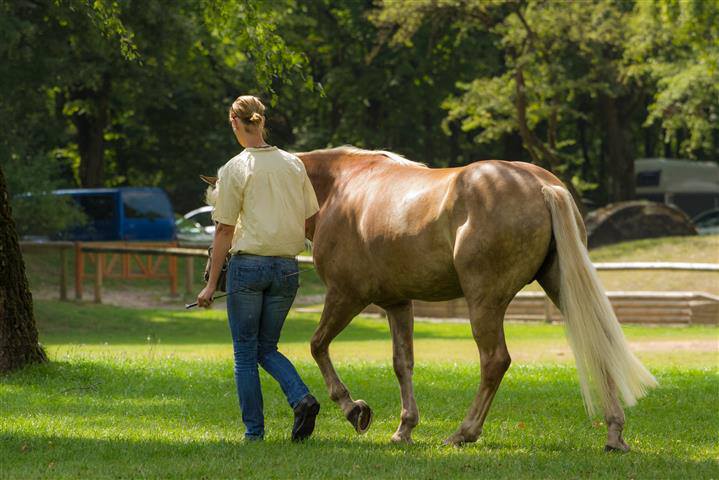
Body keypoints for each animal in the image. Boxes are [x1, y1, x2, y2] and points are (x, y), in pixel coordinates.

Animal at [296, 146, 656, 450]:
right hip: (562, 288)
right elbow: (403, 364)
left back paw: (463, 432)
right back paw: (614, 434)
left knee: (495, 361)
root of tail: (542, 186)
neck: (342, 190)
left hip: (484, 303)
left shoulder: (346, 295)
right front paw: (404, 429)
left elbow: (317, 345)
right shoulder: (397, 304)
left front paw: (353, 409)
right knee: (598, 345)